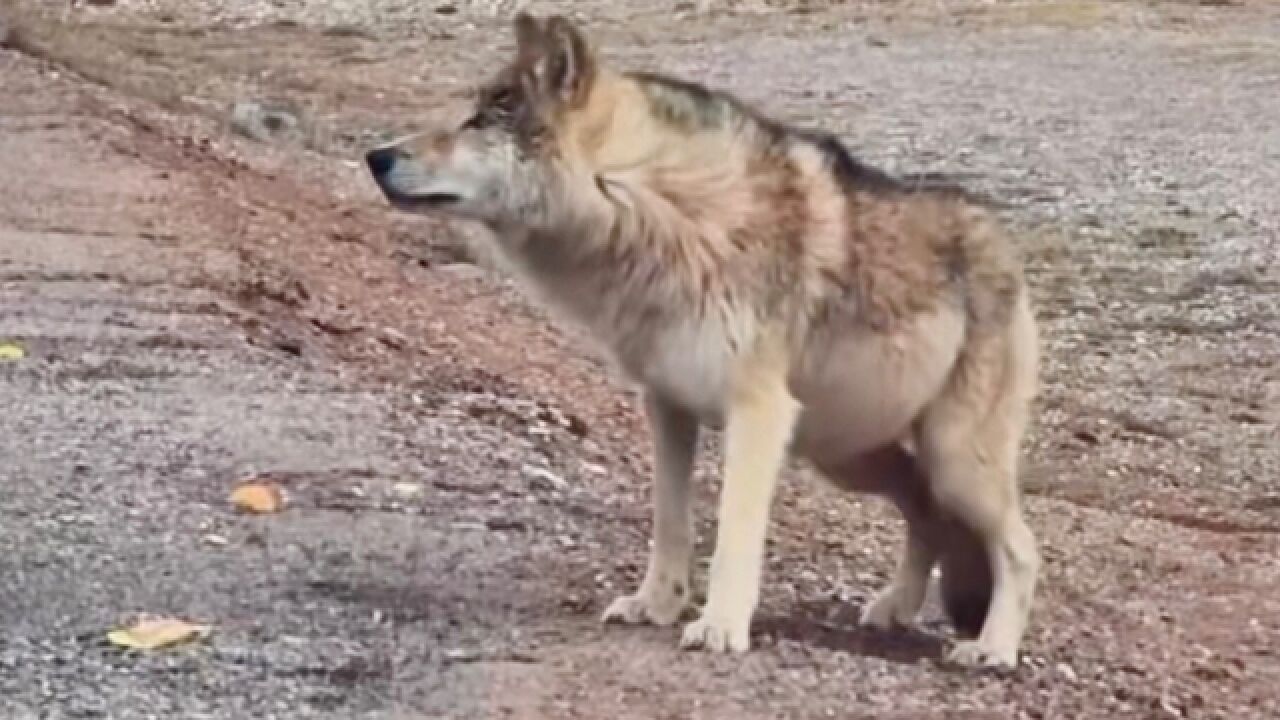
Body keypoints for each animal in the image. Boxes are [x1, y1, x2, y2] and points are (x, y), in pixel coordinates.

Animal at [368, 12, 1039, 666]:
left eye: (480, 120)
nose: (375, 156)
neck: (653, 203)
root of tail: (1006, 248)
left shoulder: (757, 414)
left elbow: (733, 534)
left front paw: (720, 626)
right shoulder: (667, 407)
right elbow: (671, 524)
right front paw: (656, 605)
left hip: (949, 460)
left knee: (1021, 548)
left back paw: (993, 648)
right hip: (848, 455)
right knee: (925, 511)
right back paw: (895, 608)